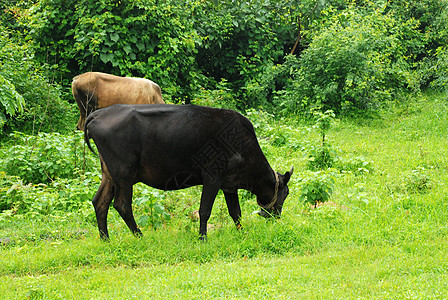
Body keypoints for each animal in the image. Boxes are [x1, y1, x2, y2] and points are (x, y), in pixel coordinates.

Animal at [84, 104, 294, 240]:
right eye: (286, 193)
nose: (276, 216)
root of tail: (98, 114)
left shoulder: (230, 185)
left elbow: (236, 212)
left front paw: (242, 233)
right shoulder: (212, 177)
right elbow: (205, 210)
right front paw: (202, 238)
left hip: (109, 174)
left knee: (100, 202)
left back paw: (106, 239)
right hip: (124, 173)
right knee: (122, 205)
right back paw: (139, 236)